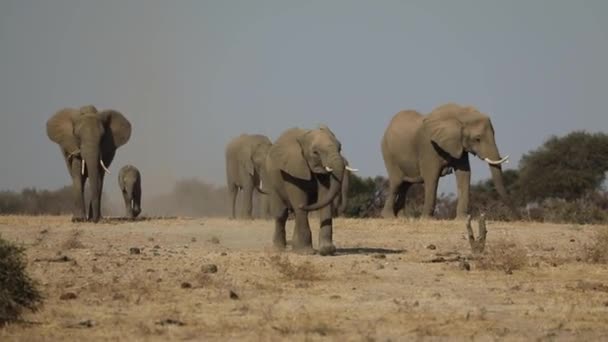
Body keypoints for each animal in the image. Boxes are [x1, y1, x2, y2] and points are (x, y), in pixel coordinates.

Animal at [264, 125, 356, 254]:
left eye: (340, 148)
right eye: (315, 152)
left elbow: (325, 198)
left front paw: (327, 250)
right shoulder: (293, 168)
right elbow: (299, 198)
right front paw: (306, 252)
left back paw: (295, 248)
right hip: (272, 180)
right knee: (281, 214)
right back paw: (279, 249)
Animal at [380, 102, 516, 219]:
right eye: (477, 139)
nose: (512, 210)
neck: (461, 115)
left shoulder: (459, 145)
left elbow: (464, 174)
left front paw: (461, 219)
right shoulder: (429, 146)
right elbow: (431, 177)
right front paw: (427, 219)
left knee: (405, 185)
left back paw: (402, 217)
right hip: (388, 153)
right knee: (397, 182)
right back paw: (389, 216)